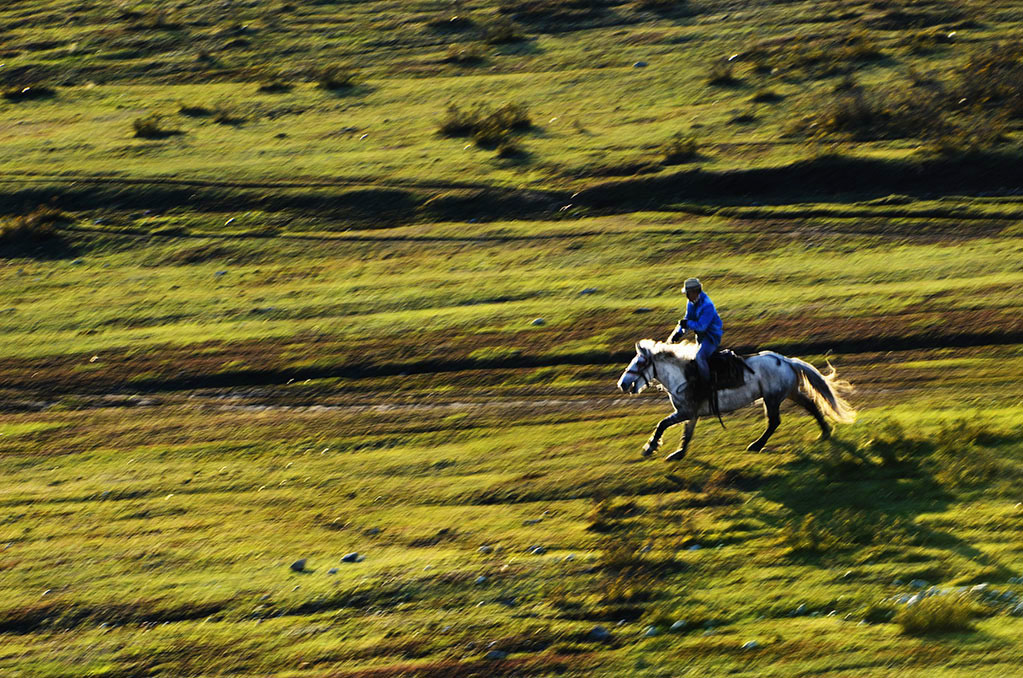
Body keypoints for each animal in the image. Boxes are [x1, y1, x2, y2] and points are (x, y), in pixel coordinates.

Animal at [613, 339, 855, 462]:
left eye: (640, 362)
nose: (622, 384)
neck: (682, 375)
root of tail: (786, 360)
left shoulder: (686, 411)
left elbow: (662, 424)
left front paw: (650, 447)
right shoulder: (691, 413)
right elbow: (686, 433)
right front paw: (678, 453)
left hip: (772, 398)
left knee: (774, 422)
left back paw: (756, 445)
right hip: (789, 393)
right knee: (812, 405)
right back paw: (825, 432)